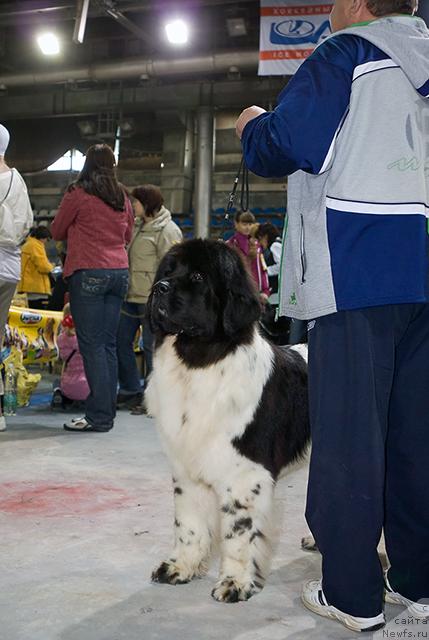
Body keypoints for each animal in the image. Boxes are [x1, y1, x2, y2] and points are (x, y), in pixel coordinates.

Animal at [145, 238, 310, 604]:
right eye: (167, 271)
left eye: (197, 277)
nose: (159, 288)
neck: (198, 364)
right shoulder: (187, 467)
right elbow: (188, 523)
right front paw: (181, 567)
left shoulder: (244, 475)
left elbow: (238, 534)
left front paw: (235, 582)